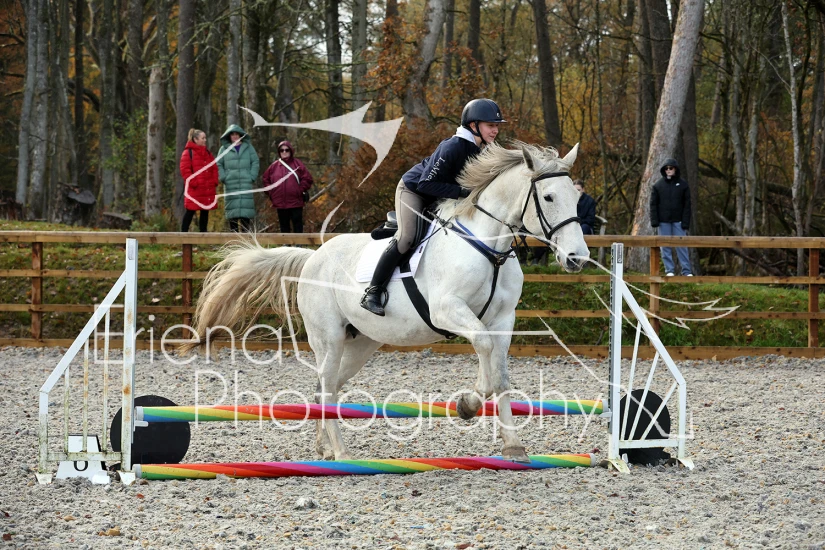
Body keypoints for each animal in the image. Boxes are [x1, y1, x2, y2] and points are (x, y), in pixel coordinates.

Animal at [182, 141, 589, 463]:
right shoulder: (450, 311)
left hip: (361, 342)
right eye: (549, 198)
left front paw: (513, 446)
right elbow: (486, 356)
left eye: (576, 198)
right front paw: (468, 405)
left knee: (327, 386)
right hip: (328, 338)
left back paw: (323, 448)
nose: (577, 258)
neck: (488, 247)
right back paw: (342, 453)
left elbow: (500, 375)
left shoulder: (503, 320)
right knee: (326, 384)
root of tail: (313, 257)